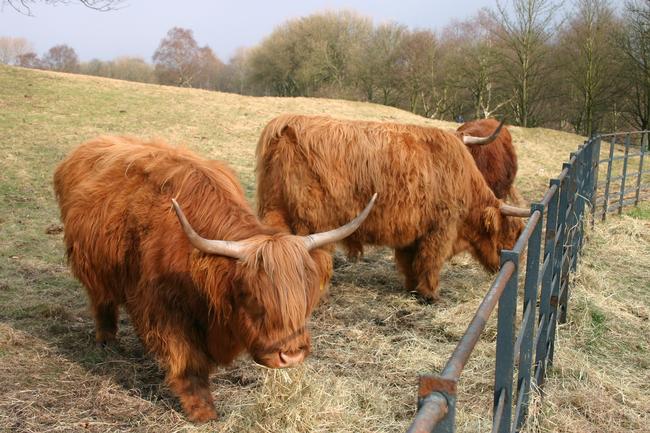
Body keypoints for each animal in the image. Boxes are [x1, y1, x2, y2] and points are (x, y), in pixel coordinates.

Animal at [53, 136, 375, 422]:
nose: (292, 356)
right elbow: (187, 362)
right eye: (251, 296)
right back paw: (106, 341)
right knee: (102, 301)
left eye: (305, 297)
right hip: (92, 268)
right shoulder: (164, 310)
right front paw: (202, 411)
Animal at [255, 114, 529, 302]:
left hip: (275, 211)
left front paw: (412, 288)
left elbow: (411, 263)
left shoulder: (414, 233)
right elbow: (431, 262)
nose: (514, 265)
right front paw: (430, 295)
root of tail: (287, 125)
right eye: (511, 234)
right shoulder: (441, 229)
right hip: (312, 223)